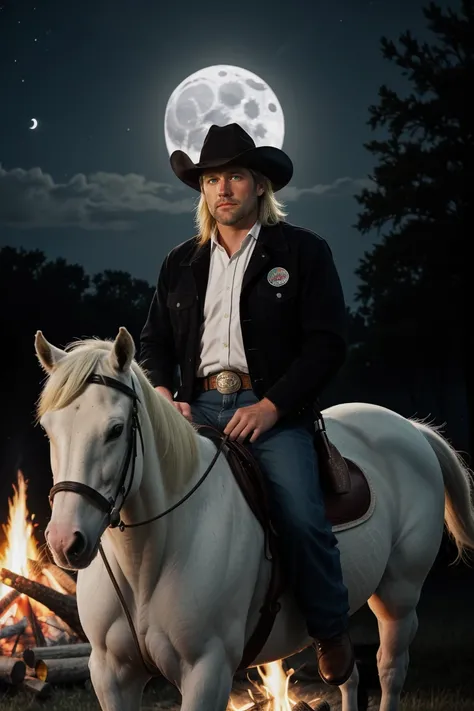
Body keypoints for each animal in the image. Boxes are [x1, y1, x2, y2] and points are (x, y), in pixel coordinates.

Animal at [35, 328, 474, 711]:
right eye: (49, 430)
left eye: (115, 430)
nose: (65, 541)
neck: (149, 558)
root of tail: (408, 428)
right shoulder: (111, 675)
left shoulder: (207, 671)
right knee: (347, 675)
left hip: (399, 595)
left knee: (390, 670)